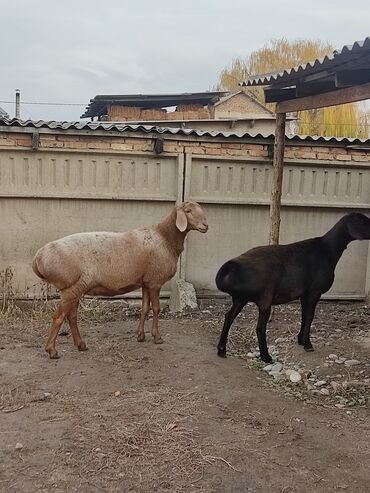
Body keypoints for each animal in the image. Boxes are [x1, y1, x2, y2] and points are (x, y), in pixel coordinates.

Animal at [31, 200, 208, 358]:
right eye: (188, 211)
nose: (206, 226)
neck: (165, 237)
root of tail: (38, 258)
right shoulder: (155, 281)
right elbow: (156, 309)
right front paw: (157, 337)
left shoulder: (145, 281)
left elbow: (144, 308)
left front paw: (140, 336)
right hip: (71, 286)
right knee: (59, 317)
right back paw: (52, 351)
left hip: (75, 288)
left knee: (71, 316)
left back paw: (81, 345)